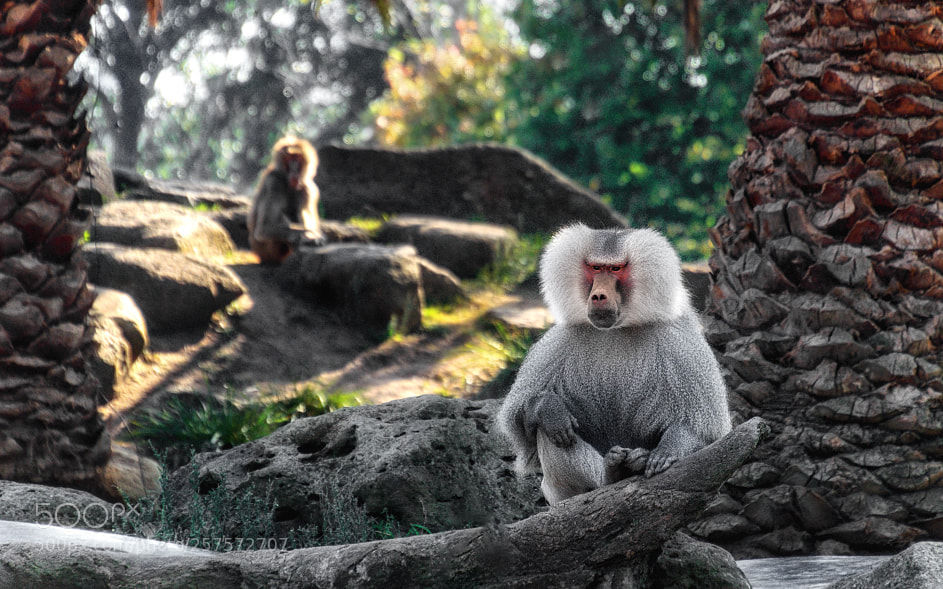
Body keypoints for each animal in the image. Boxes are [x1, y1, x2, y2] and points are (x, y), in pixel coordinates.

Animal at [247, 135, 325, 264]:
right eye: (289, 160)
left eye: (298, 159)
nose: (294, 171)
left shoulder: (307, 188)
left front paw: (312, 236)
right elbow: (264, 228)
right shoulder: (273, 183)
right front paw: (305, 235)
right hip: (266, 251)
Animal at [496, 223, 731, 505]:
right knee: (551, 430)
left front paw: (669, 450)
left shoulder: (681, 346)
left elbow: (708, 434)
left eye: (616, 269)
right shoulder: (558, 344)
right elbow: (521, 428)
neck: (618, 329)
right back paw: (612, 473)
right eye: (596, 268)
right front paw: (547, 407)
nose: (598, 296)